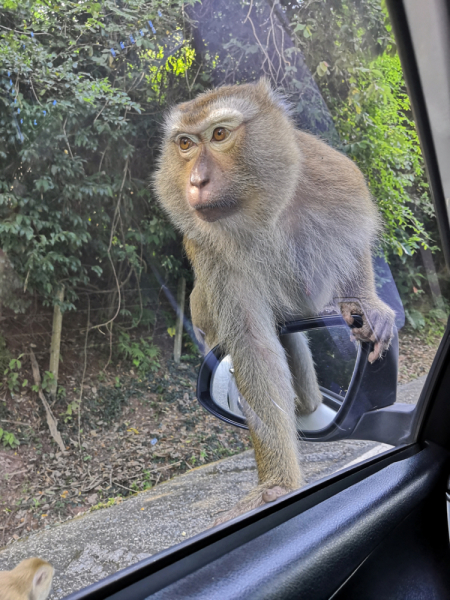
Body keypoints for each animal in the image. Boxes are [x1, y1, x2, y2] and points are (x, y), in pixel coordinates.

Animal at [155, 78, 394, 520]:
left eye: (219, 134)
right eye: (184, 143)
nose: (195, 181)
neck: (259, 213)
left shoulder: (330, 175)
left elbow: (353, 235)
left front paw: (365, 304)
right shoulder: (211, 252)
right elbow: (255, 347)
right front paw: (278, 484)